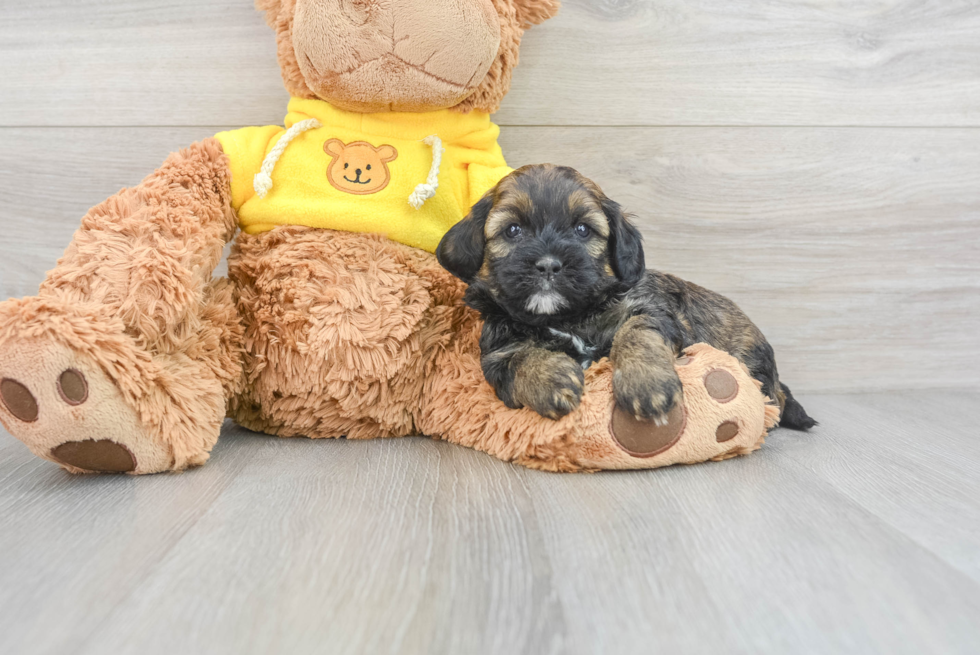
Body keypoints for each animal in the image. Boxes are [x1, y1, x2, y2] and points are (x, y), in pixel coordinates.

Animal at [440, 164, 816, 430]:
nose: (548, 264)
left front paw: (645, 383)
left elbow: (636, 334)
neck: (566, 317)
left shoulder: (649, 310)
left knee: (775, 401)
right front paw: (550, 379)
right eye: (513, 230)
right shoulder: (497, 350)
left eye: (582, 229)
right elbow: (519, 358)